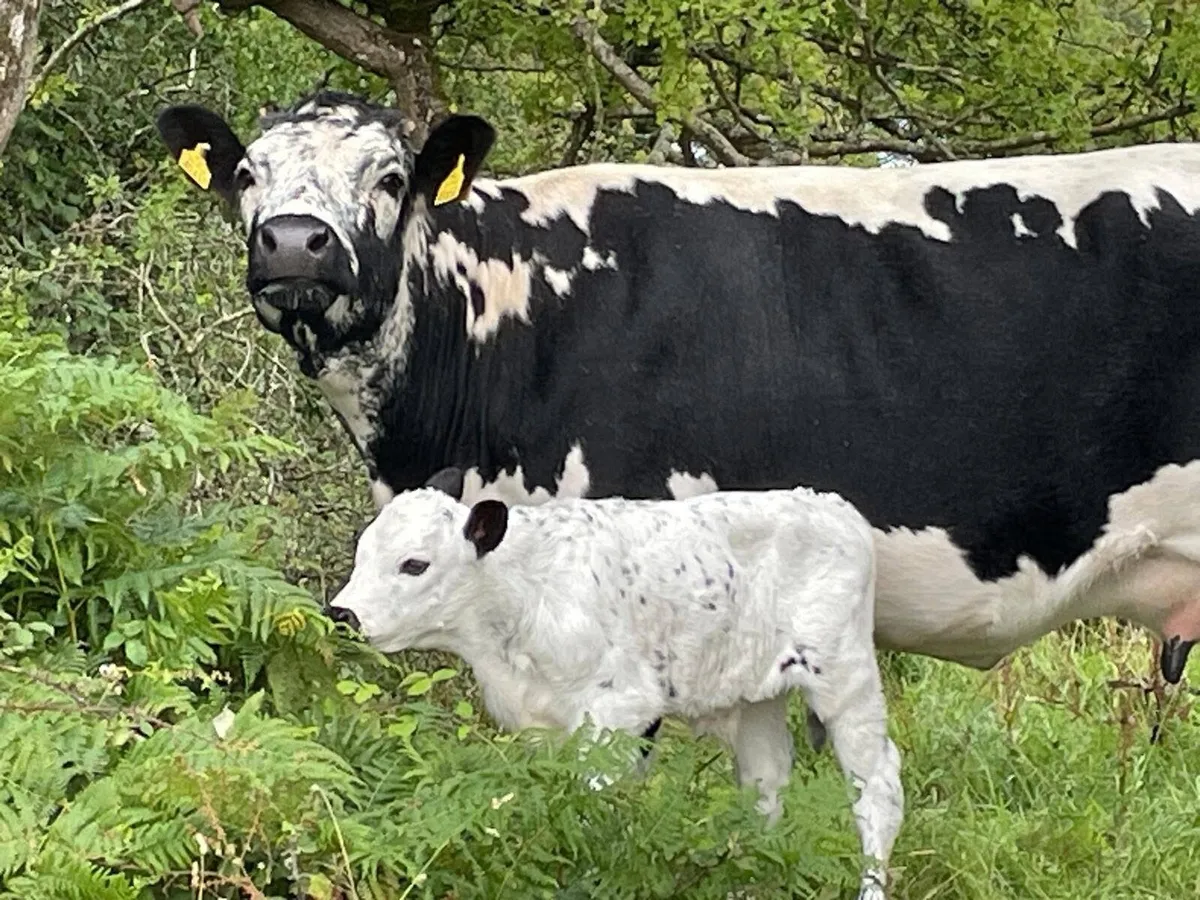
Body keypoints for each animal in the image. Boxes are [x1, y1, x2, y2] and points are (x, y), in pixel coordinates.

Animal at [327, 469, 903, 899]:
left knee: (877, 789)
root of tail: (831, 505)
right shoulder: (540, 724)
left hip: (844, 676)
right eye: (363, 551)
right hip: (759, 692)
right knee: (765, 783)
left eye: (414, 563)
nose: (342, 614)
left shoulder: (618, 710)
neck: (521, 595)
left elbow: (590, 806)